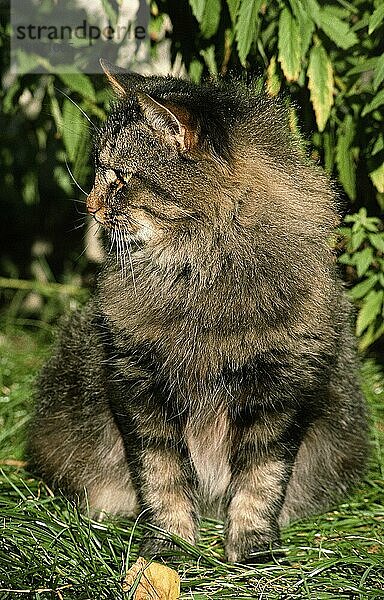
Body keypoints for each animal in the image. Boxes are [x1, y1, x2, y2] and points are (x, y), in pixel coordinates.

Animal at [28, 61, 368, 564]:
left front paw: (252, 550)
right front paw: (167, 548)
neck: (201, 274)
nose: (89, 205)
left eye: (119, 177)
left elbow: (259, 483)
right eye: (100, 170)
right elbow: (162, 477)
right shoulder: (137, 382)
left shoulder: (281, 388)